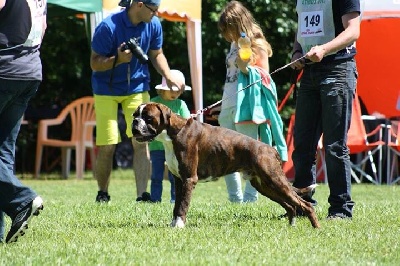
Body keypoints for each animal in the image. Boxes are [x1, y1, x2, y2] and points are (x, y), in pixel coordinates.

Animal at [133, 102, 320, 229]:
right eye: (135, 114)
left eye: (148, 117)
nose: (134, 122)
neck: (174, 132)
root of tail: (270, 149)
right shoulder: (179, 181)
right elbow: (177, 204)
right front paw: (174, 224)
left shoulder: (189, 179)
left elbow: (183, 205)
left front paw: (179, 225)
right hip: (265, 185)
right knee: (290, 205)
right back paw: (292, 225)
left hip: (276, 181)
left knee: (305, 204)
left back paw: (316, 228)